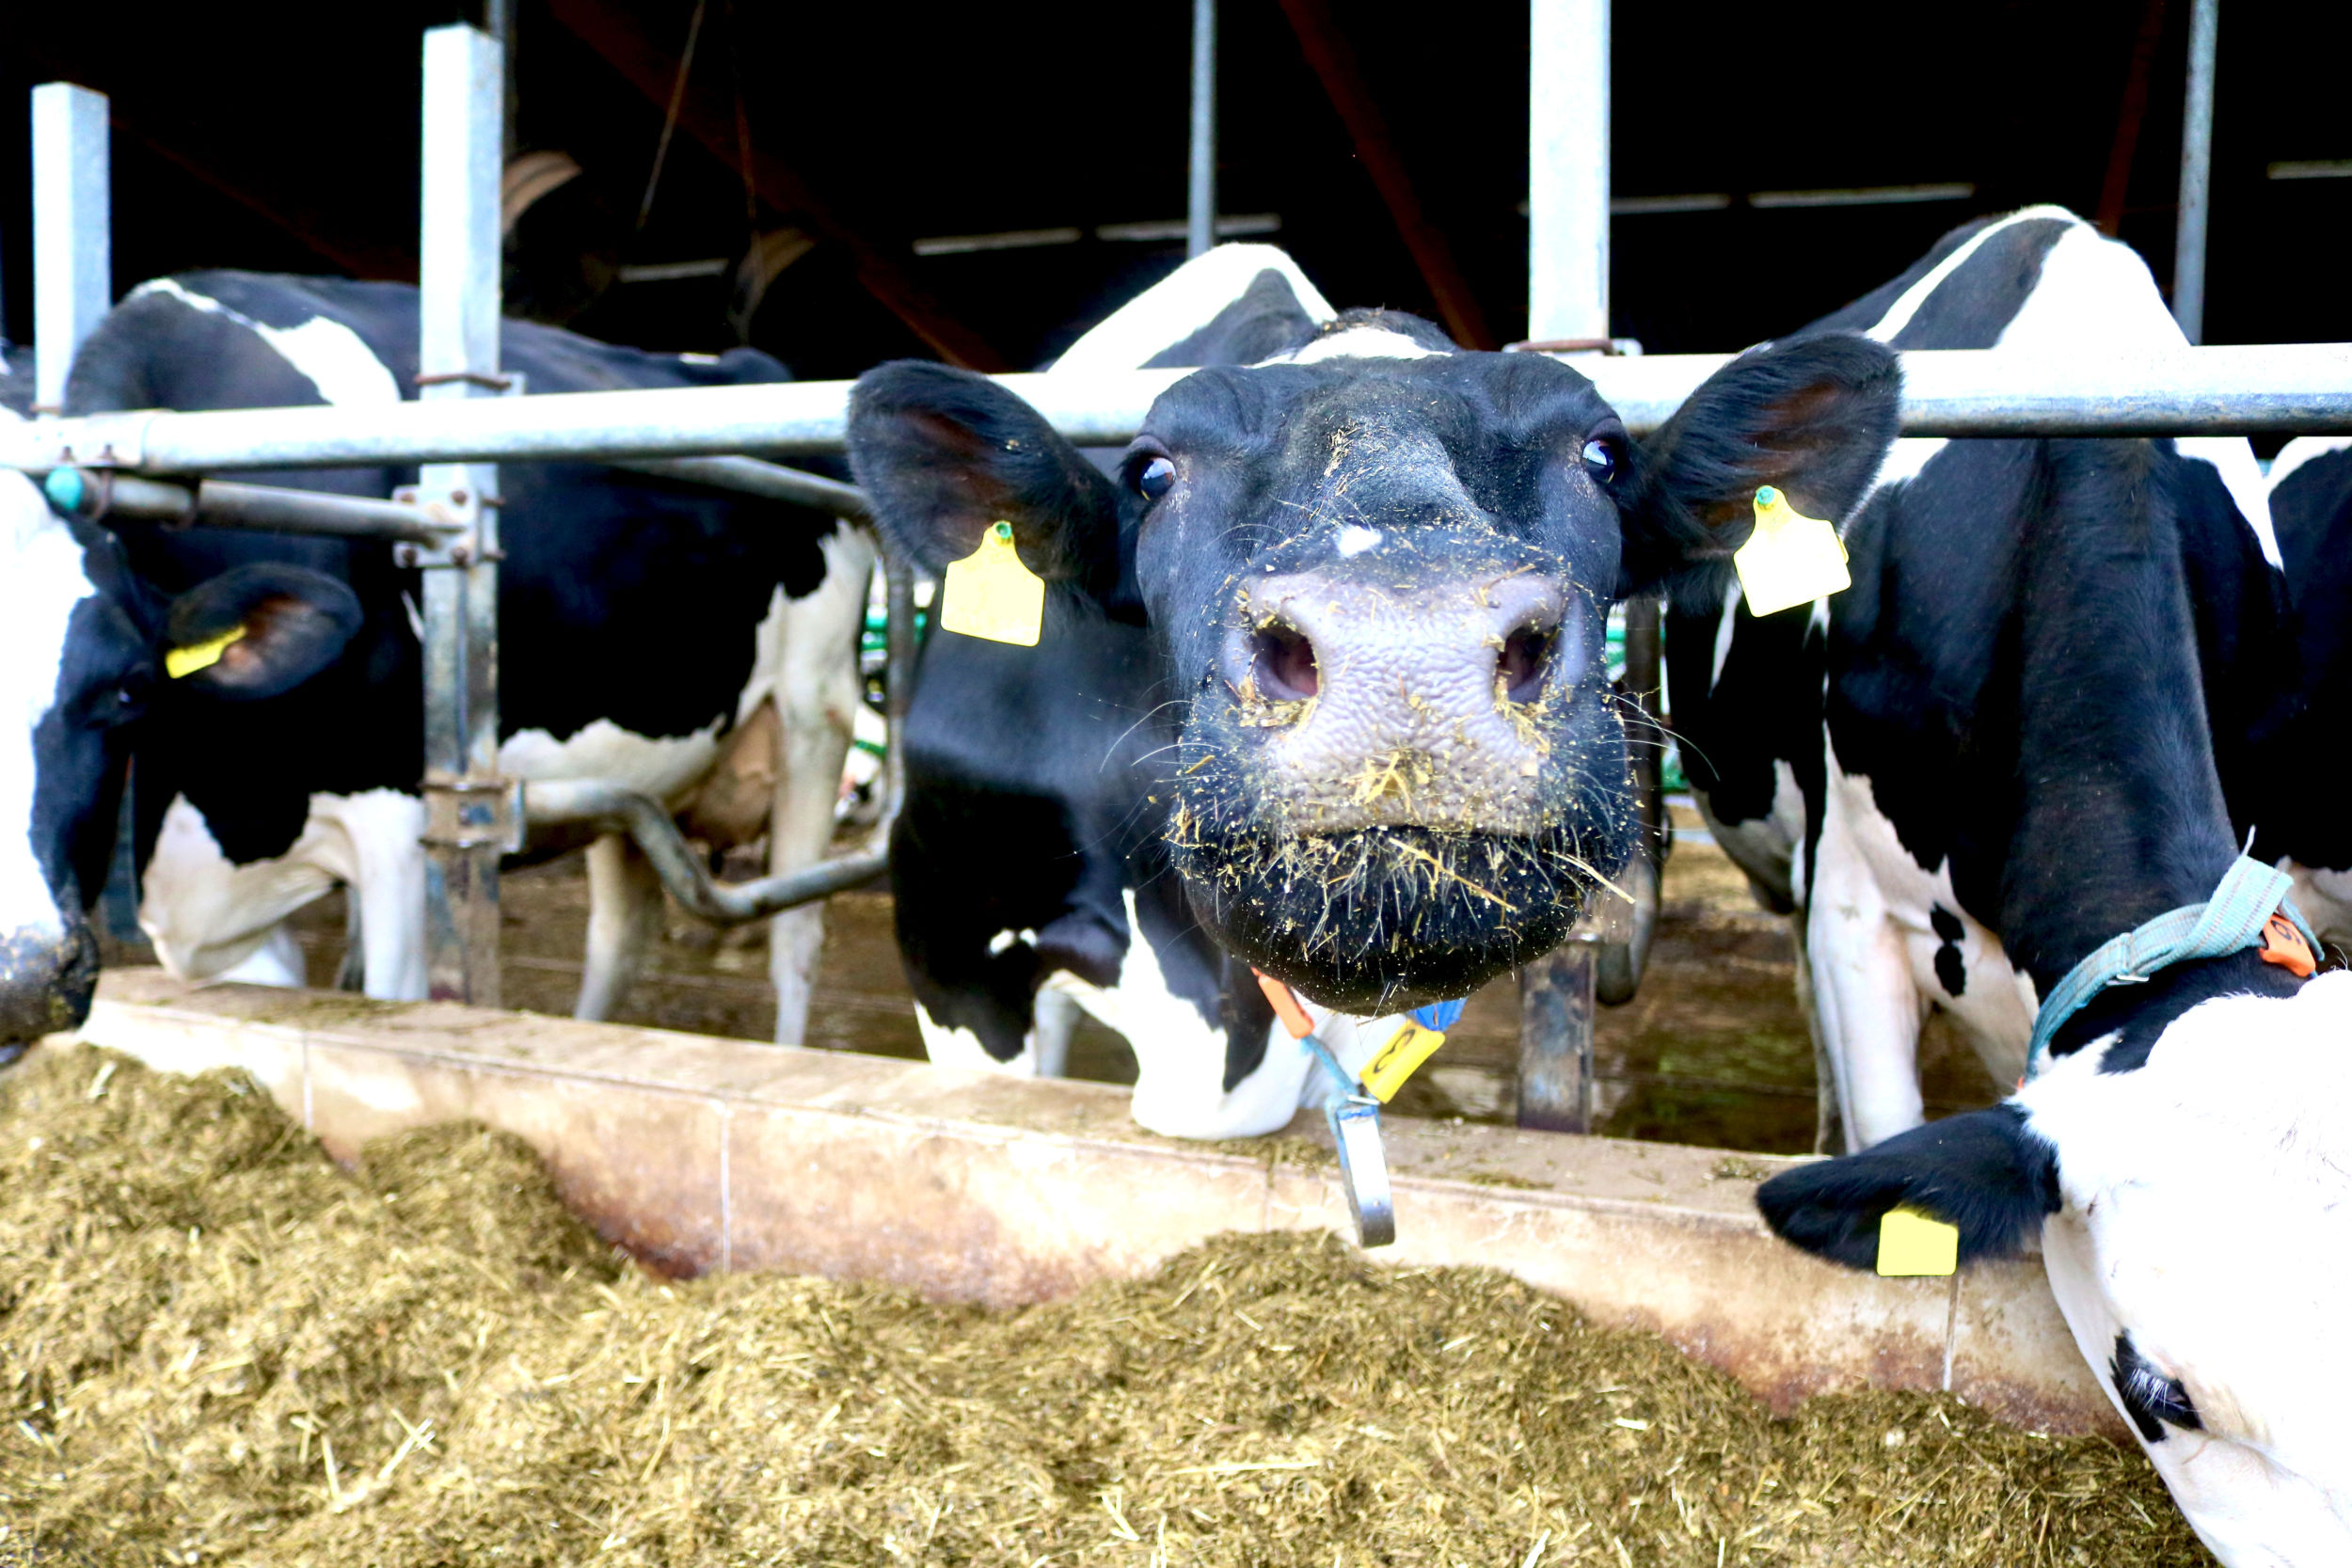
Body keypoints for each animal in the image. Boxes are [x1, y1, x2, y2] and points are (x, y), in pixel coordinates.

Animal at [59, 272, 880, 1043]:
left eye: (130, 686)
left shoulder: (392, 817)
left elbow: (396, 996)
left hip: (816, 707)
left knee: (796, 937)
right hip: (643, 756)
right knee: (620, 937)